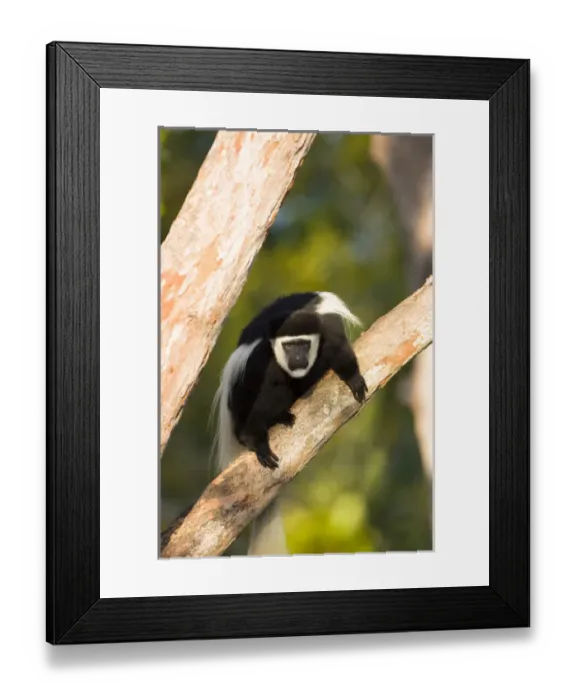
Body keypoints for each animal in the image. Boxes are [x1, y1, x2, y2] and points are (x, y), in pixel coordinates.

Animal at [210, 292, 367, 556]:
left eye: (303, 345)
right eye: (289, 347)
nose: (297, 359)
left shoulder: (328, 327)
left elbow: (339, 349)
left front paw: (353, 378)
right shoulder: (258, 357)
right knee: (269, 381)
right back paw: (262, 429)